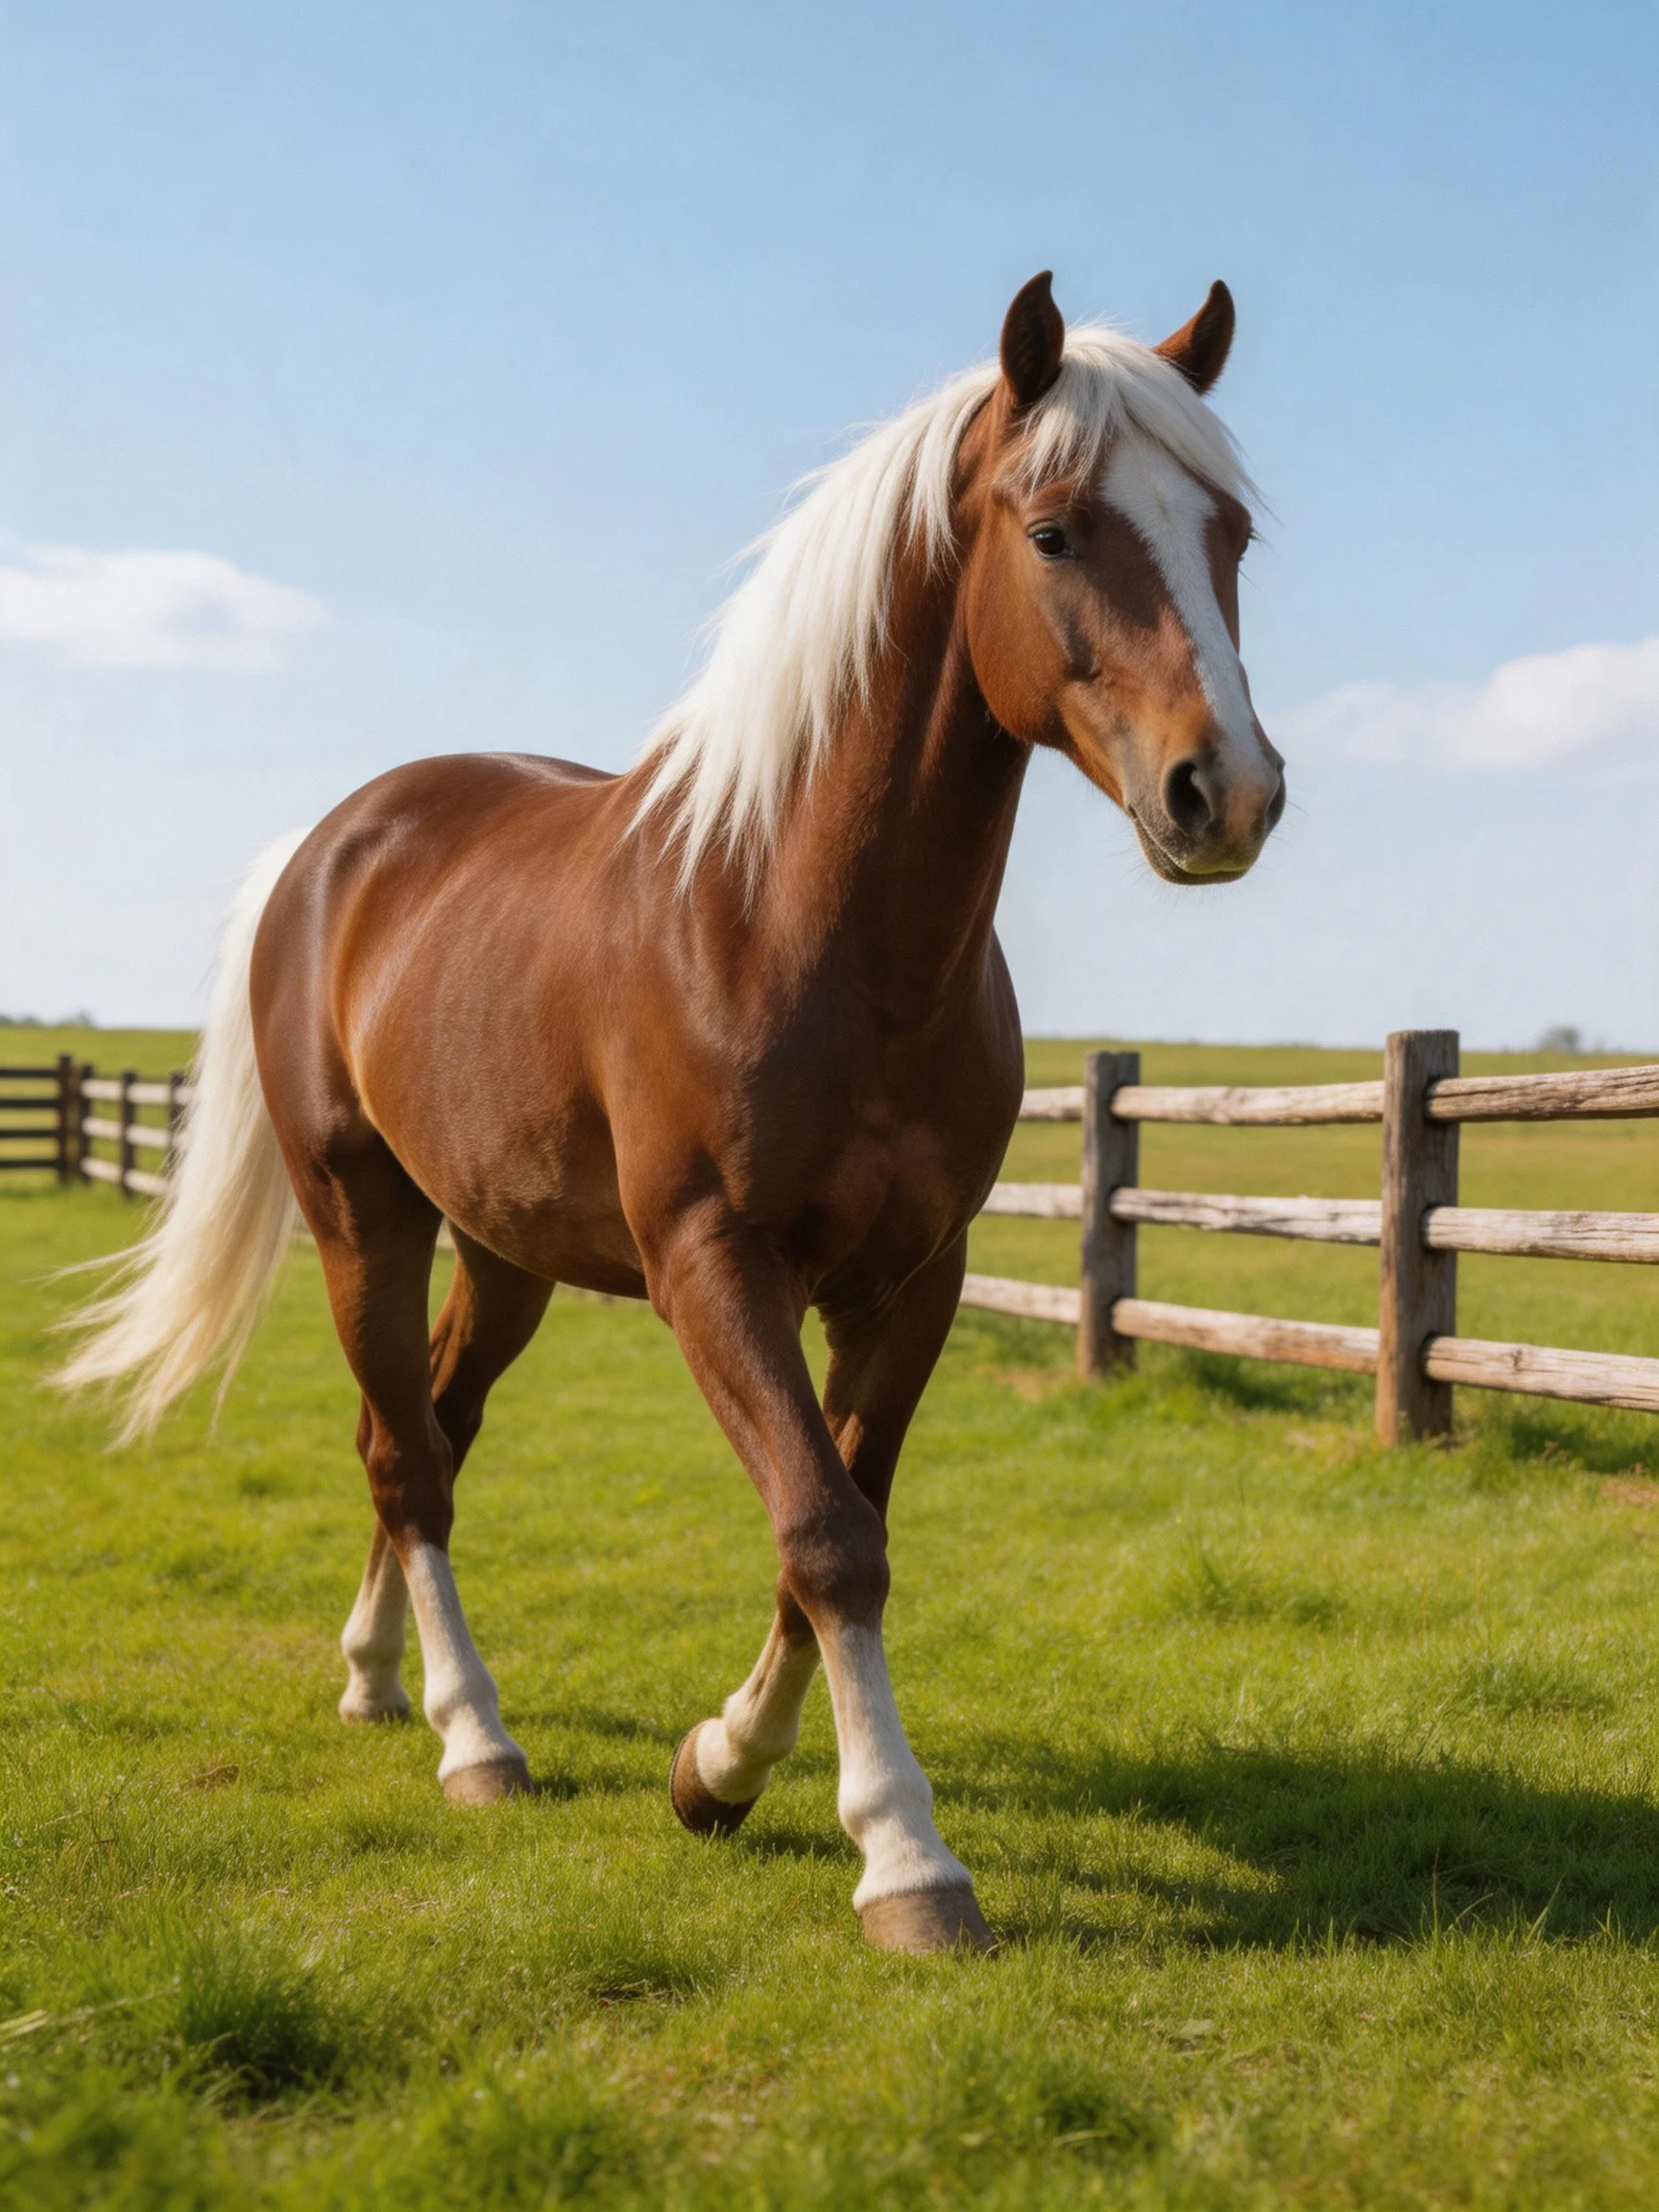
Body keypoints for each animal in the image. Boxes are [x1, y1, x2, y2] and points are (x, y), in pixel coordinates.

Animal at [58, 272, 1283, 1953]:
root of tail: (329, 847)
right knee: (406, 1463)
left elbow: (841, 1520)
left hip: (501, 1254)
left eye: (1230, 533)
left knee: (424, 1428)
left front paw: (721, 1767)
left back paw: (377, 1680)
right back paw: (474, 1738)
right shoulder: (713, 1263)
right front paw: (905, 1858)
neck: (794, 920)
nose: (1227, 792)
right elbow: (826, 1533)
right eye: (1053, 530)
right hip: (361, 1219)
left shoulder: (916, 1281)